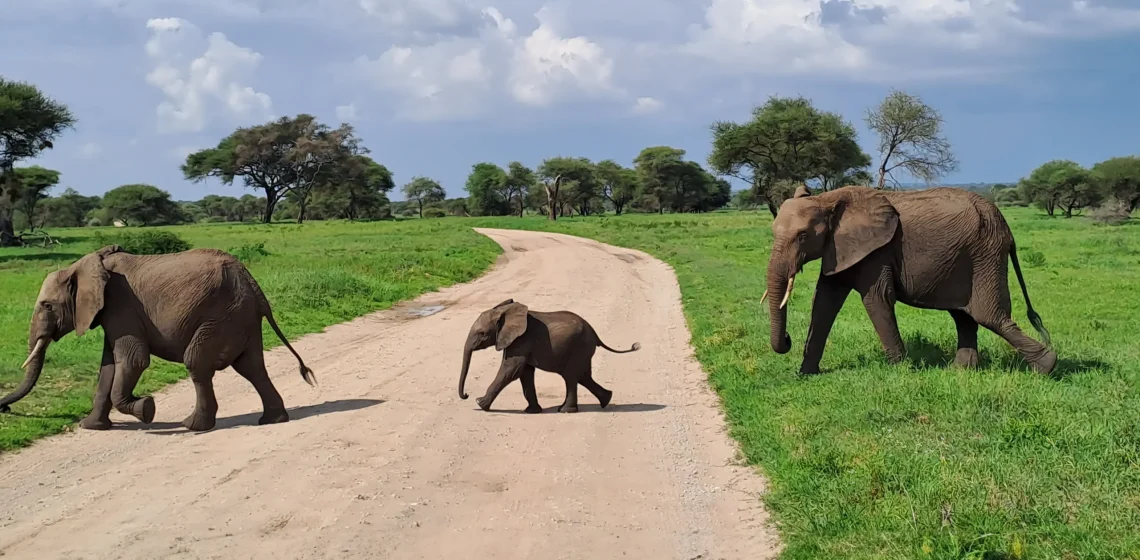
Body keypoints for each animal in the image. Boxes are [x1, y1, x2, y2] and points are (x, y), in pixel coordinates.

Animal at [0, 242, 316, 431]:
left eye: (47, 306)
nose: (5, 408)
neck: (87, 264)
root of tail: (253, 284)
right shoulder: (112, 315)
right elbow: (108, 367)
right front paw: (91, 427)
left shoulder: (121, 306)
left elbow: (133, 360)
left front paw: (147, 409)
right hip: (240, 316)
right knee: (251, 367)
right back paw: (272, 420)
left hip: (223, 314)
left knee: (197, 362)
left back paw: (192, 426)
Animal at [460, 301, 642, 415]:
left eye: (482, 334)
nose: (467, 395)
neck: (506, 312)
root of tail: (595, 334)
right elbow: (525, 373)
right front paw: (532, 412)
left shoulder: (521, 340)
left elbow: (511, 370)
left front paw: (479, 403)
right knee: (583, 376)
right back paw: (606, 400)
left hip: (578, 348)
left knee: (571, 376)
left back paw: (566, 410)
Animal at [770, 184, 1053, 376]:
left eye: (803, 236)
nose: (788, 338)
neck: (826, 198)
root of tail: (1006, 225)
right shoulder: (839, 249)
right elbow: (824, 303)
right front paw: (806, 374)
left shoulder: (877, 251)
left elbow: (876, 300)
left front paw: (900, 371)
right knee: (965, 316)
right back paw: (960, 371)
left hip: (985, 253)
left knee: (989, 315)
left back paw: (1047, 367)